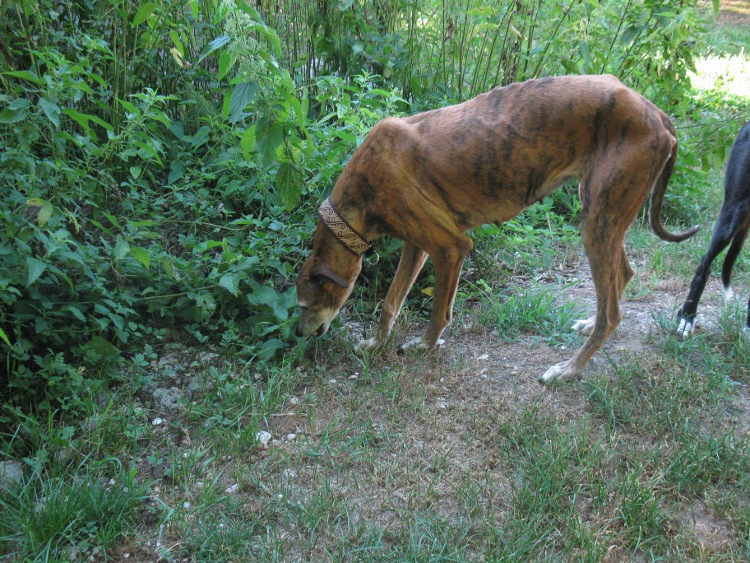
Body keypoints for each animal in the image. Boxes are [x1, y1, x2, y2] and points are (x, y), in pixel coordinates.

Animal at [294, 75, 700, 384]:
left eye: (303, 304)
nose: (298, 334)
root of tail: (658, 115)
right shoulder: (418, 245)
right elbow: (390, 303)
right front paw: (375, 345)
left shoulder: (451, 247)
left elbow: (439, 312)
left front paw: (423, 346)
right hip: (604, 213)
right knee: (622, 278)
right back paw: (589, 323)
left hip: (598, 221)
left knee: (613, 312)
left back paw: (568, 369)